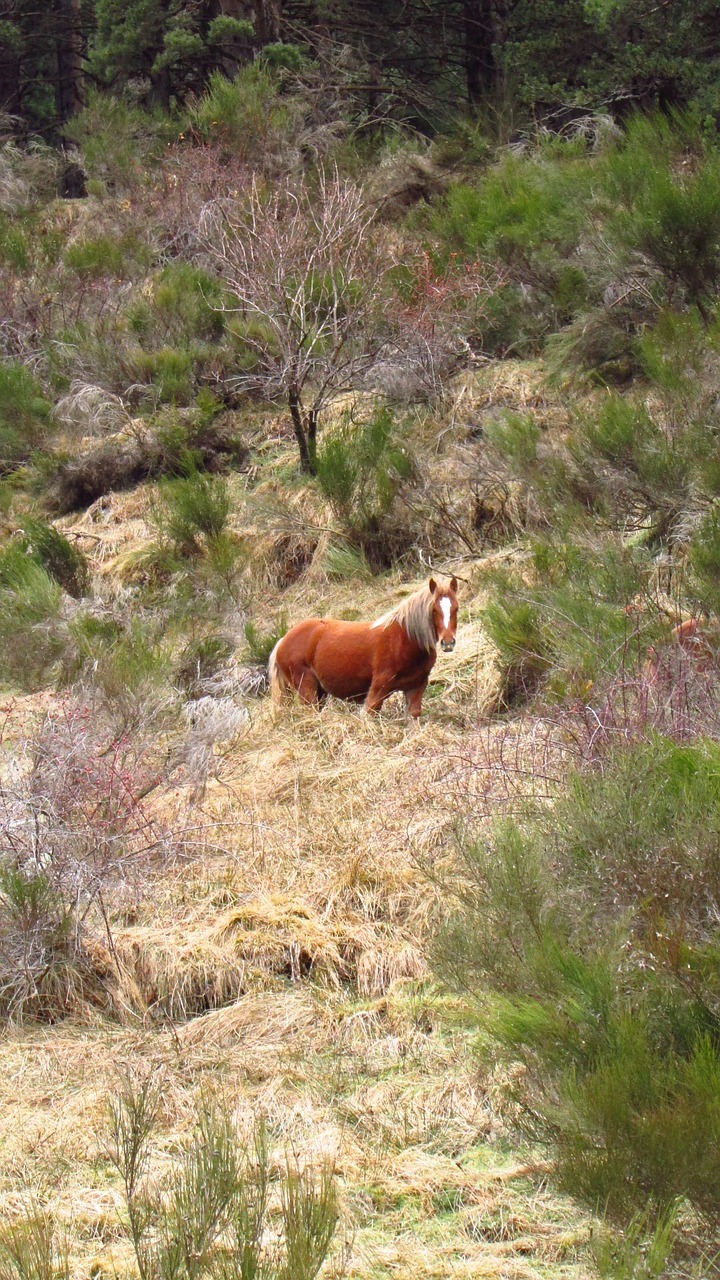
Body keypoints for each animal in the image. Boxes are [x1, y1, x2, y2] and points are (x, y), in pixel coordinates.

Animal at [266, 581, 456, 721]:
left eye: (456, 608)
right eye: (434, 609)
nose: (448, 642)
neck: (405, 639)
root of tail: (282, 640)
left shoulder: (415, 687)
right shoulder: (379, 688)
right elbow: (369, 713)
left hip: (319, 692)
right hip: (306, 689)